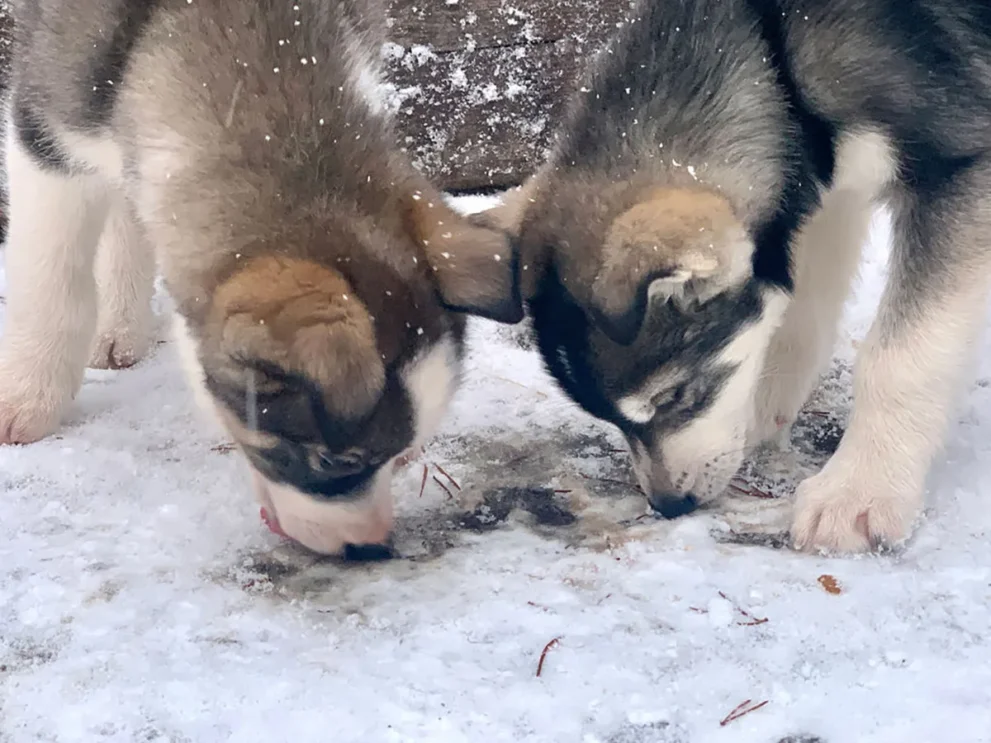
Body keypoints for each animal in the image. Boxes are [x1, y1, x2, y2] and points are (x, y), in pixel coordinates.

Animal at [0, 1, 524, 560]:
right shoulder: (44, 133)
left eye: (404, 455)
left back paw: (124, 324)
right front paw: (29, 393)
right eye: (334, 462)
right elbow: (52, 278)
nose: (371, 548)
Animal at [484, 0, 991, 552]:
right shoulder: (822, 195)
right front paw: (762, 412)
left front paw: (859, 490)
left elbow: (899, 359)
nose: (669, 505)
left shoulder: (961, 169)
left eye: (673, 397)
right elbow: (797, 316)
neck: (776, 46)